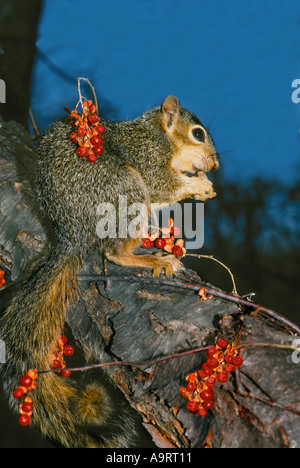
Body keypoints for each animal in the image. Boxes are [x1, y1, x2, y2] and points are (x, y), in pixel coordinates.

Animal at [0, 94, 218, 446]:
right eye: (198, 134)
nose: (214, 165)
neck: (158, 135)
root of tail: (72, 235)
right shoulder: (147, 157)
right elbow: (162, 185)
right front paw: (198, 185)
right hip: (123, 189)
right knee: (114, 252)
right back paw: (153, 260)